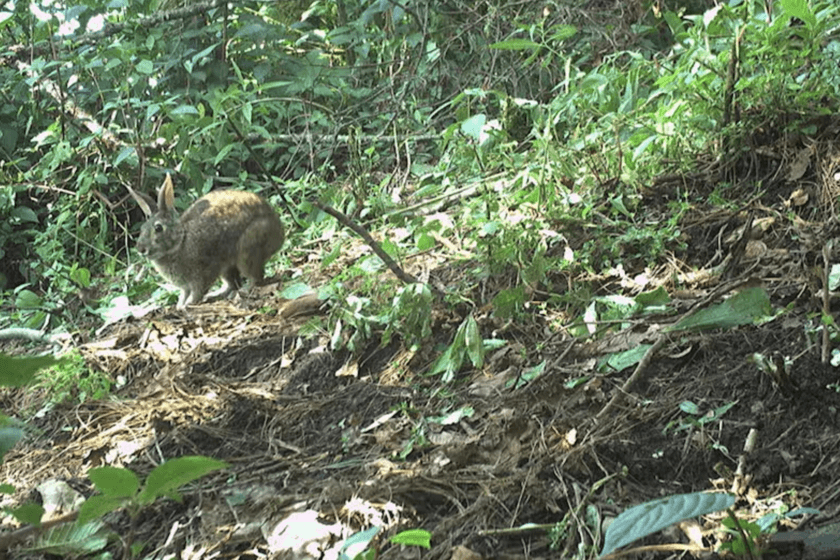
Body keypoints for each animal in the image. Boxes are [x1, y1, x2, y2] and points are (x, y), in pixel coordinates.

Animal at [128, 173, 284, 309]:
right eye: (142, 228)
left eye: (158, 228)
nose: (140, 249)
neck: (181, 242)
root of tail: (278, 232)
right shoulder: (186, 286)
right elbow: (184, 294)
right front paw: (180, 305)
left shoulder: (202, 274)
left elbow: (197, 292)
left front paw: (187, 305)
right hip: (227, 267)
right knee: (232, 283)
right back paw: (216, 295)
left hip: (247, 249)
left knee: (255, 277)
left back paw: (244, 290)